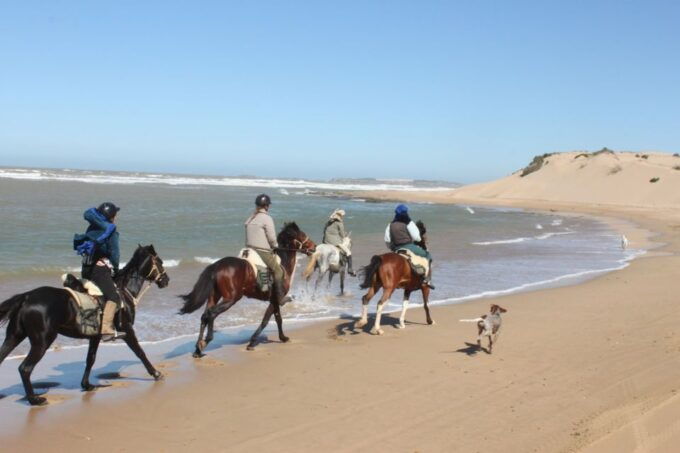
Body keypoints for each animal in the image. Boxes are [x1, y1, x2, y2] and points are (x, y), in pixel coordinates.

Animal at [0, 245, 169, 404]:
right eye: (160, 262)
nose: (166, 280)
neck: (123, 291)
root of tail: (27, 297)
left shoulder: (95, 337)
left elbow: (90, 359)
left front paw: (87, 385)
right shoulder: (127, 330)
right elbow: (139, 352)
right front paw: (156, 373)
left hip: (14, 336)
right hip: (42, 341)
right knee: (25, 368)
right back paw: (35, 399)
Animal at [178, 222, 316, 356]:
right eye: (303, 235)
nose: (314, 247)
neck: (282, 263)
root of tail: (217, 265)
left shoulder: (274, 300)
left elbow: (275, 318)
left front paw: (280, 337)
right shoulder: (276, 299)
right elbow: (270, 319)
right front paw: (257, 341)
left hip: (214, 296)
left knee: (205, 315)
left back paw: (198, 348)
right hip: (231, 299)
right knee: (211, 314)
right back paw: (205, 341)